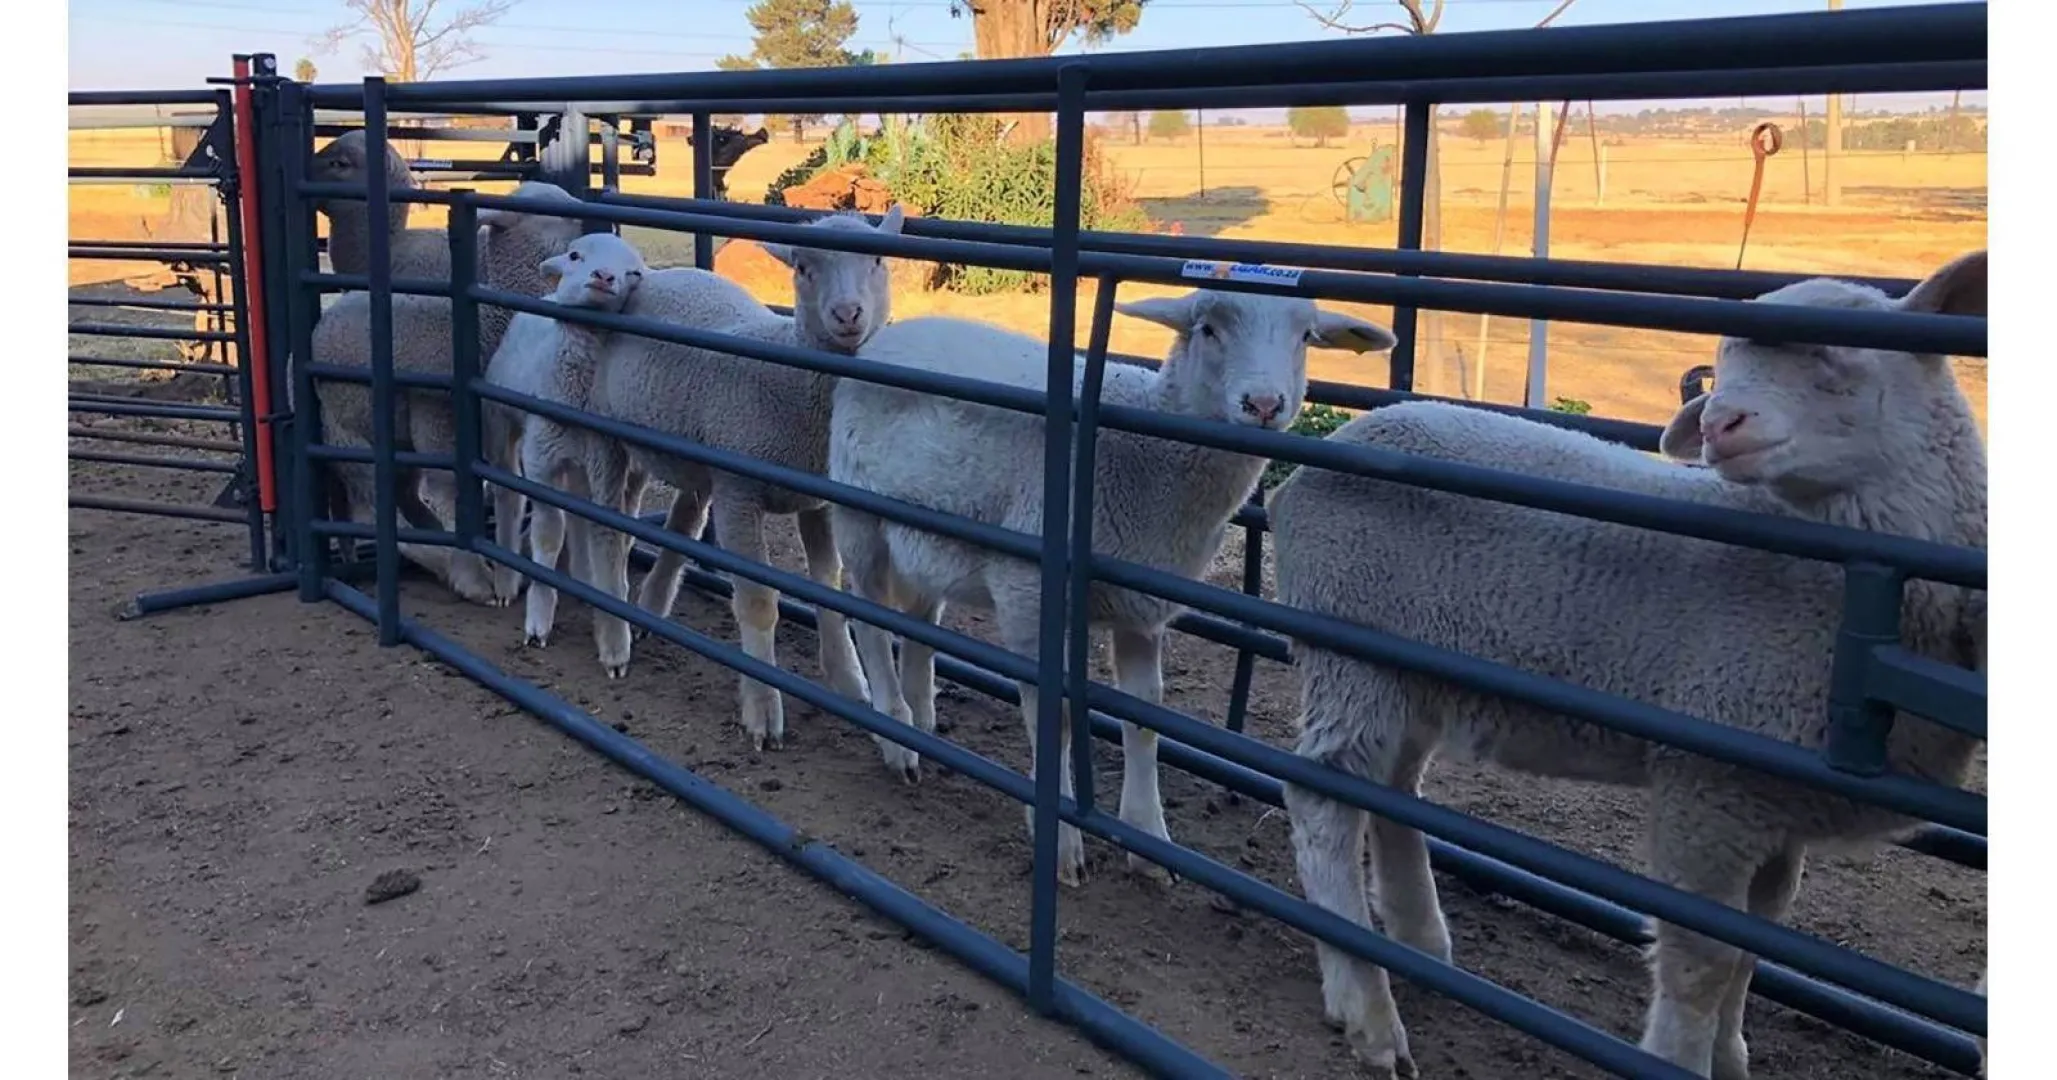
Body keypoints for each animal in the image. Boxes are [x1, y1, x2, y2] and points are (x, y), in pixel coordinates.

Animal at [303, 181, 590, 605]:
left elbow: (508, 486)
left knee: (403, 497)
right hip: (345, 431)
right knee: (379, 507)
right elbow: (452, 490)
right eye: (552, 210)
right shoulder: (436, 416)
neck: (489, 320)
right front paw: (474, 578)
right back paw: (440, 559)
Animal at [477, 231, 650, 671]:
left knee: (578, 513)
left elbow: (608, 539)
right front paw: (539, 621)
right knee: (508, 496)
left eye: (634, 272)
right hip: (501, 424)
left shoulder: (607, 468)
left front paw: (613, 640)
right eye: (575, 255)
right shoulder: (542, 464)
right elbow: (548, 535)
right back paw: (506, 581)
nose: (604, 276)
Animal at [563, 206, 908, 732]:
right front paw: (763, 708)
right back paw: (614, 637)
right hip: (606, 429)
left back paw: (651, 603)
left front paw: (849, 682)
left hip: (690, 451)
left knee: (681, 520)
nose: (847, 314)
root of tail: (658, 276)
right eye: (802, 268)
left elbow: (827, 587)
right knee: (605, 526)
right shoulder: (740, 495)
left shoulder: (817, 500)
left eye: (877, 260)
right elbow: (758, 604)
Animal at [826, 288, 1397, 887]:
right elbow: (1053, 716)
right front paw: (1060, 842)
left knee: (916, 622)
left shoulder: (1141, 608)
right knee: (868, 616)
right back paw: (895, 734)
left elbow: (1144, 715)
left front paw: (1149, 839)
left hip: (924, 539)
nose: (1263, 404)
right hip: (860, 516)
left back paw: (923, 724)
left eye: (1305, 336)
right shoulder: (1027, 592)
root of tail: (893, 333)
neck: (1150, 460)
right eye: (1208, 329)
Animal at [1265, 250, 1987, 1080]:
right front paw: (1682, 1059)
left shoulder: (1772, 803)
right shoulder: (1707, 786)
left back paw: (1418, 943)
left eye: (1838, 355)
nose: (1719, 423)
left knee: (1388, 791)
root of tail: (1309, 471)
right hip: (1347, 646)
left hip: (1409, 672)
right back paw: (1366, 1007)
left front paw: (1730, 1055)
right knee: (1323, 800)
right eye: (1723, 365)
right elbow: (1703, 962)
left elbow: (1756, 945)